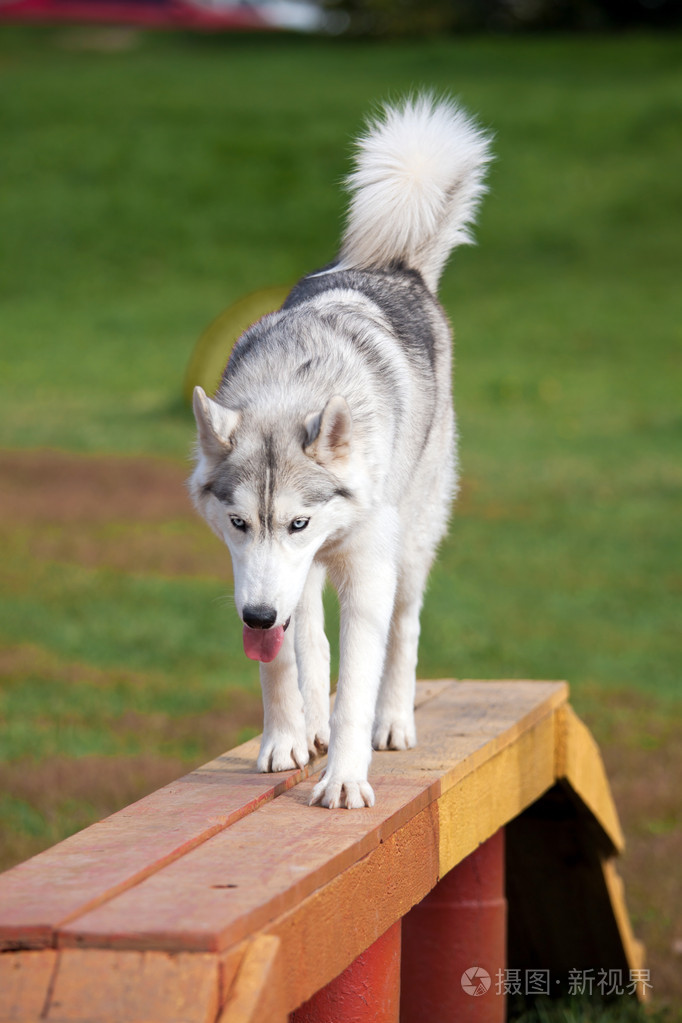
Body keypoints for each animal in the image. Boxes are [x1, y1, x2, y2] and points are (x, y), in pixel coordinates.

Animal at [189, 99, 492, 810]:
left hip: (409, 544)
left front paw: (346, 779)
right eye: (239, 522)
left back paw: (394, 723)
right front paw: (285, 741)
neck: (291, 385)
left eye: (298, 521)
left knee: (404, 631)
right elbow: (286, 660)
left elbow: (355, 682)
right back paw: (311, 723)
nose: (258, 613)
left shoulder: (363, 573)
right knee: (311, 640)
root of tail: (394, 267)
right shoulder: (266, 576)